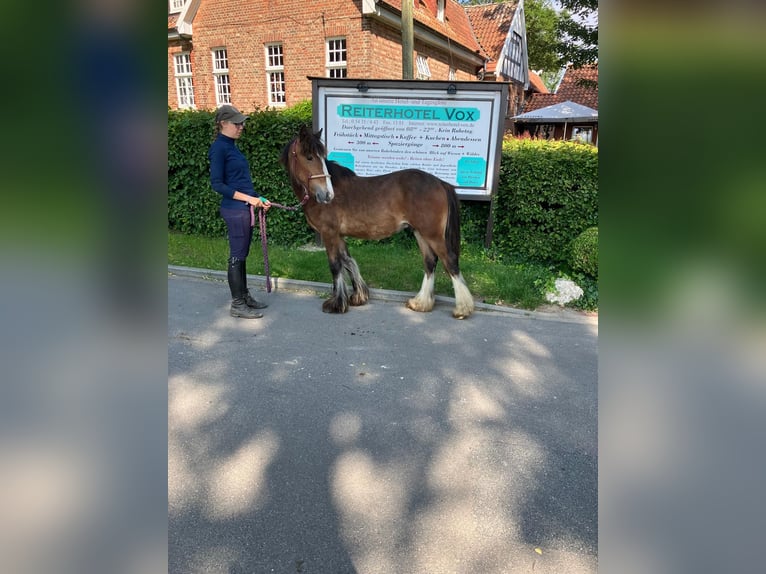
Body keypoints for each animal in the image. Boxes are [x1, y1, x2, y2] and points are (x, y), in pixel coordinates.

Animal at [280, 125, 474, 320]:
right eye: (309, 157)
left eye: (319, 157)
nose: (327, 194)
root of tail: (440, 183)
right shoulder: (339, 235)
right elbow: (348, 261)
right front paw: (357, 297)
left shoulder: (329, 233)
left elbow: (336, 266)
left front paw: (336, 304)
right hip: (420, 233)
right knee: (430, 262)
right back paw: (421, 303)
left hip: (432, 234)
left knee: (450, 262)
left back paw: (462, 309)